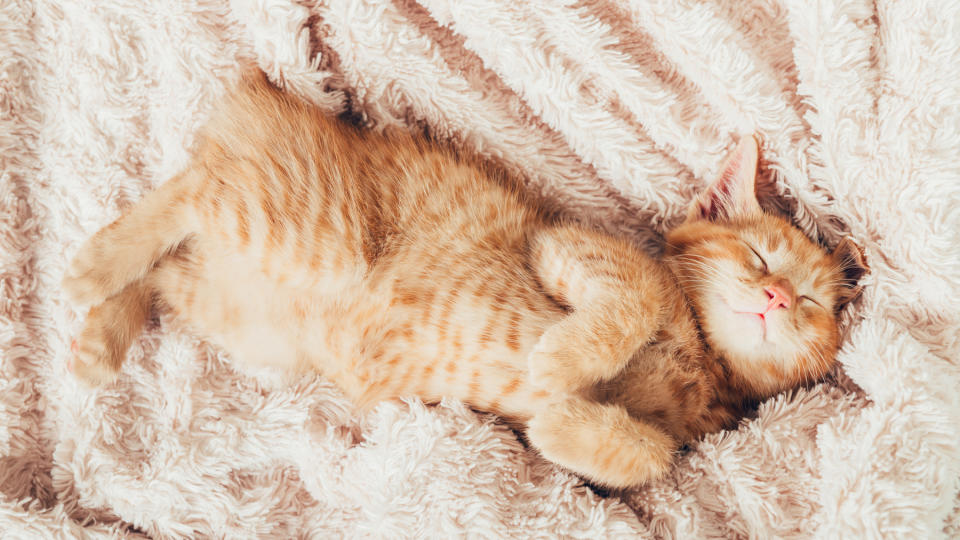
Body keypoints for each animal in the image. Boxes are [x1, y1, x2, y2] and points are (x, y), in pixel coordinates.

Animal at [62, 71, 872, 490]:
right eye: (759, 257)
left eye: (808, 304)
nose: (773, 297)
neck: (702, 356)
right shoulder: (564, 245)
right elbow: (635, 299)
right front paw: (561, 364)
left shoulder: (687, 431)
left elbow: (656, 452)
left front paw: (562, 424)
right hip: (309, 234)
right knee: (192, 189)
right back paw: (94, 263)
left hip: (245, 314)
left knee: (172, 268)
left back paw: (101, 339)